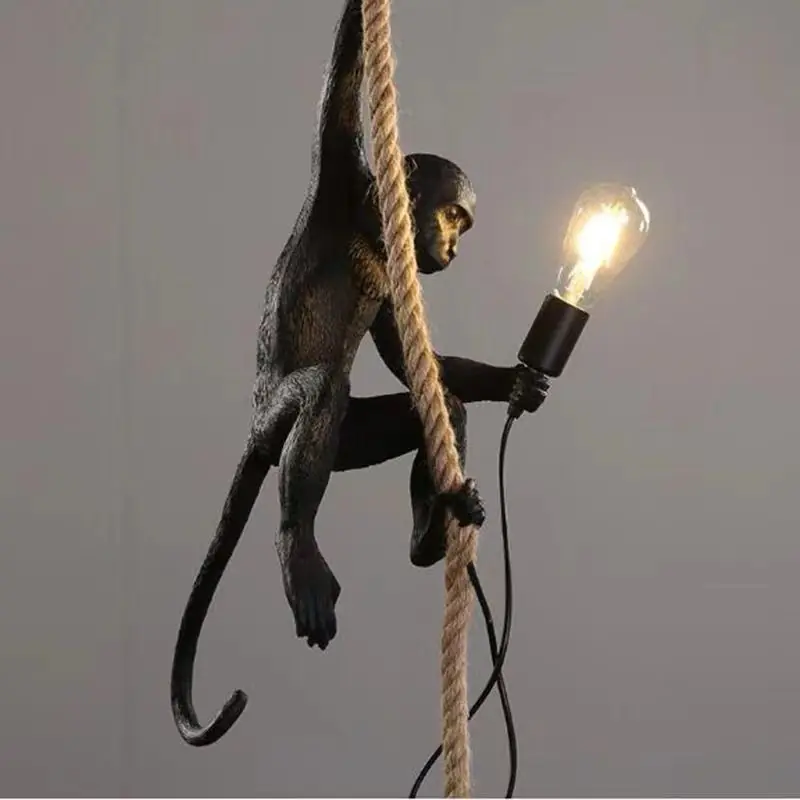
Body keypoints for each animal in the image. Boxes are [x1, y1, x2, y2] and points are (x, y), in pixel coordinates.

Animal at [170, 0, 544, 748]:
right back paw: (298, 550)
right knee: (321, 391)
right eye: (453, 215)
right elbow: (340, 89)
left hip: (351, 441)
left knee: (435, 407)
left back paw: (435, 531)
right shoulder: (340, 172)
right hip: (276, 421)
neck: (375, 227)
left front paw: (514, 382)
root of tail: (255, 440)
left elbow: (423, 365)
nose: (453, 247)